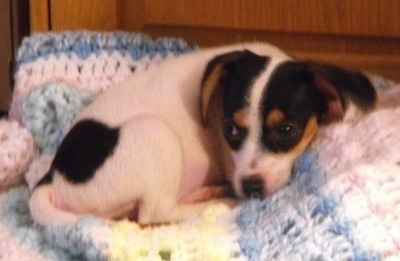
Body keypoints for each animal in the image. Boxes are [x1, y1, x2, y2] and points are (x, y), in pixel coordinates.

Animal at [29, 41, 376, 224]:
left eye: (287, 130)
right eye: (229, 129)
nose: (250, 187)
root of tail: (52, 178)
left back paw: (208, 193)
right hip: (154, 133)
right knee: (154, 214)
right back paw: (219, 204)